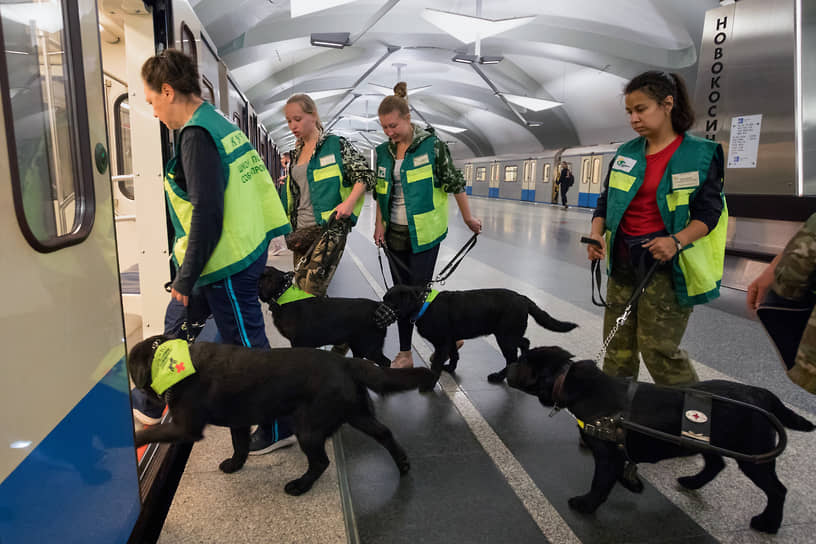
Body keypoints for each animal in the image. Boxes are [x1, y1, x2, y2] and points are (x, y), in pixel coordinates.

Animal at [129, 334, 434, 496]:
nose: (144, 398)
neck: (170, 359)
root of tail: (346, 362)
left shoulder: (185, 427)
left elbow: (152, 433)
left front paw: (131, 440)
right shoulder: (239, 422)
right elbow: (240, 447)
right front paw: (234, 465)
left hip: (309, 427)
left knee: (321, 461)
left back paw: (300, 486)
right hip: (356, 413)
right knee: (385, 433)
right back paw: (403, 463)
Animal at [260, 266, 390, 368]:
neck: (283, 295)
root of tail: (378, 306)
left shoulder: (298, 342)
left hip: (369, 346)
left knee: (386, 362)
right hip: (358, 346)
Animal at [384, 284, 580, 386]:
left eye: (390, 302)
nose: (379, 308)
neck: (423, 304)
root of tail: (523, 298)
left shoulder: (442, 344)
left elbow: (437, 365)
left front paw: (430, 384)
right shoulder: (451, 339)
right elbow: (454, 355)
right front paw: (451, 368)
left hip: (505, 337)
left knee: (512, 358)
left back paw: (498, 376)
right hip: (510, 334)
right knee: (525, 342)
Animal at [506, 346, 812, 532]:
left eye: (523, 362)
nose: (507, 367)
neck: (577, 385)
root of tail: (762, 394)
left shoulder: (607, 455)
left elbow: (600, 482)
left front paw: (586, 504)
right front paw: (631, 483)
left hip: (754, 457)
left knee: (777, 490)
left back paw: (769, 523)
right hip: (702, 439)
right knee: (715, 465)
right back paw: (692, 482)